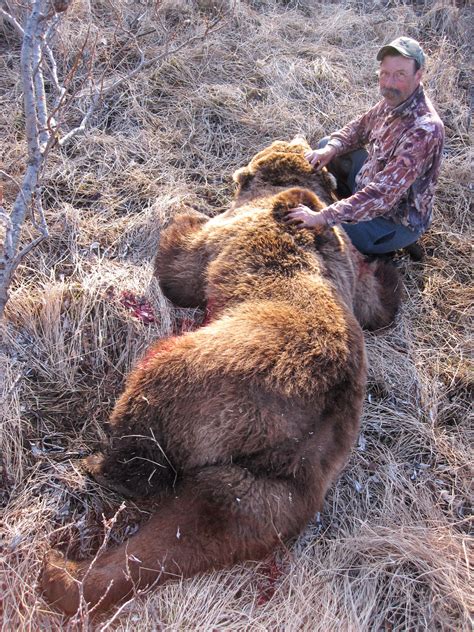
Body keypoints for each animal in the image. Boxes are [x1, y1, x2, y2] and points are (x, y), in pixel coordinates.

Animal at [42, 137, 402, 612]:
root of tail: (292, 448)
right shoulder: (348, 273)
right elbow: (373, 301)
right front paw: (388, 274)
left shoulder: (222, 238)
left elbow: (180, 264)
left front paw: (182, 214)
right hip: (265, 493)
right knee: (210, 523)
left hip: (219, 378)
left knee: (151, 427)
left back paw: (97, 470)